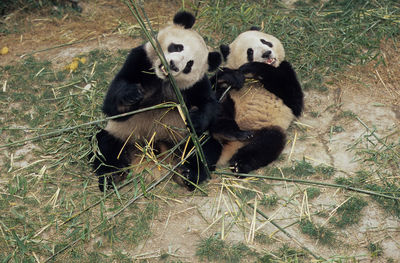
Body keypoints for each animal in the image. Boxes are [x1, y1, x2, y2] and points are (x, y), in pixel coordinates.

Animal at [93, 11, 222, 192]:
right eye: (177, 47)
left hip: (183, 140)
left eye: (189, 65)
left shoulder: (195, 85)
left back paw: (187, 175)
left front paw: (195, 119)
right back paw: (112, 176)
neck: (163, 80)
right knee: (105, 145)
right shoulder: (140, 59)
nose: (173, 66)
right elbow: (113, 104)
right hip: (123, 135)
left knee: (203, 149)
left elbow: (209, 106)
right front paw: (132, 94)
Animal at [209, 27, 304, 174]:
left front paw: (254, 66)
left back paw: (239, 164)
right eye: (250, 51)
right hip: (229, 104)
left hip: (264, 127)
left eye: (265, 41)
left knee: (267, 143)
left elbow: (294, 100)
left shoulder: (285, 70)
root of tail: (232, 146)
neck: (252, 80)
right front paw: (231, 77)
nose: (266, 53)